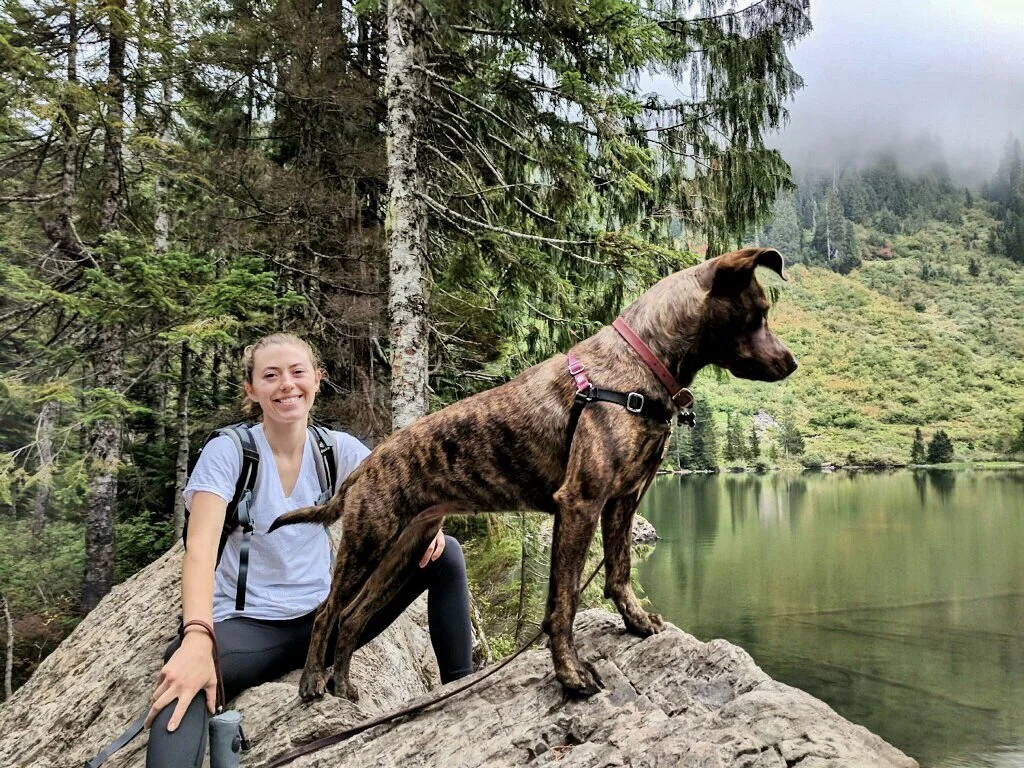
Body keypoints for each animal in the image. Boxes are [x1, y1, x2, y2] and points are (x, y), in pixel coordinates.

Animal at [270, 247, 797, 700]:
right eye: (759, 314)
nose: (791, 362)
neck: (639, 364)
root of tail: (364, 466)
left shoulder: (623, 501)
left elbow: (620, 572)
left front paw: (635, 623)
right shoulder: (581, 504)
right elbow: (562, 604)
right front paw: (571, 674)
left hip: (406, 551)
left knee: (353, 618)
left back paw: (342, 684)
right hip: (368, 543)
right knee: (327, 612)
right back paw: (313, 682)